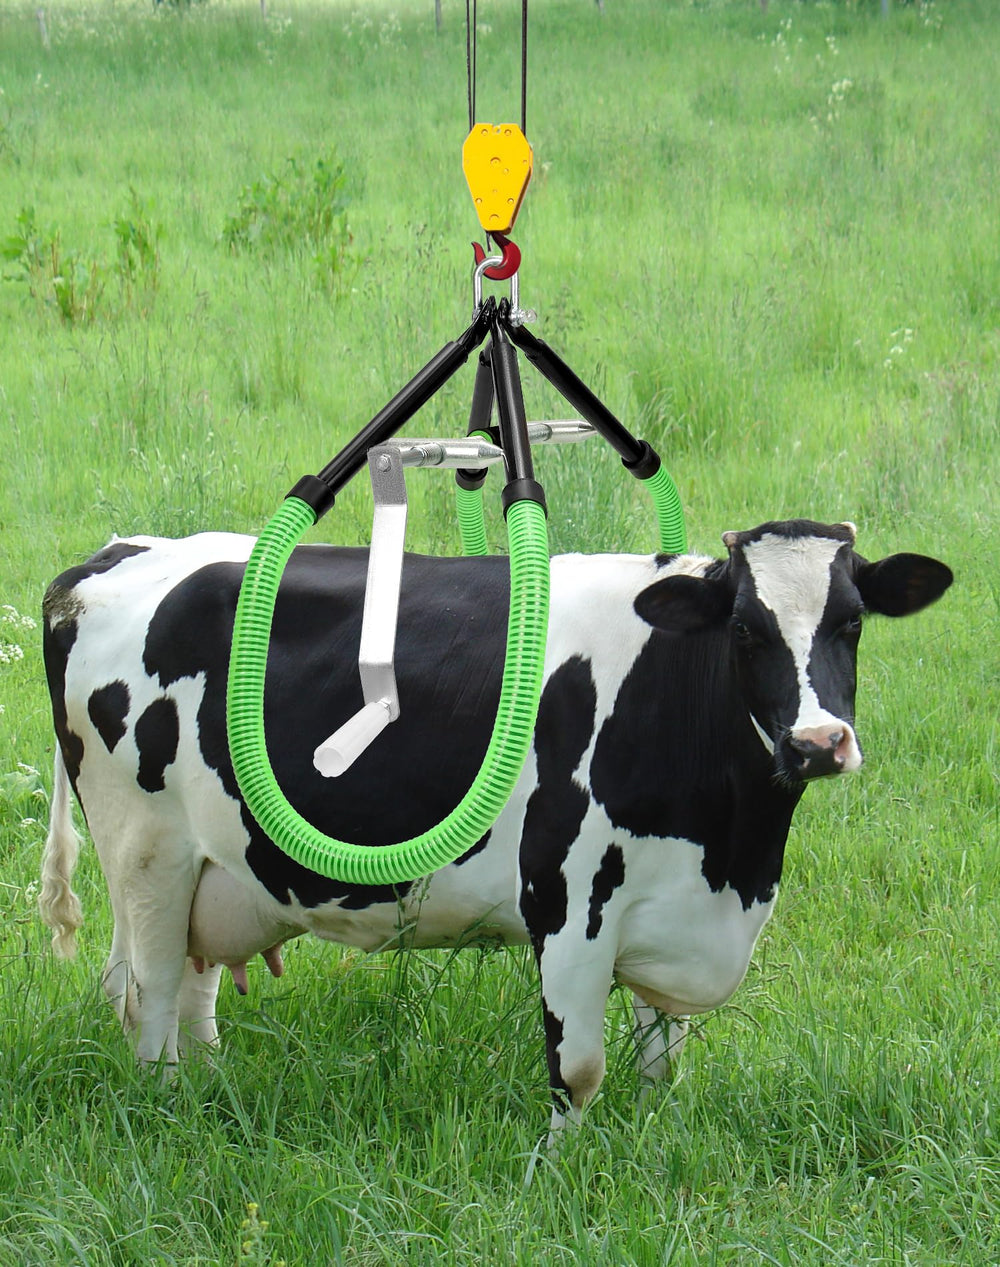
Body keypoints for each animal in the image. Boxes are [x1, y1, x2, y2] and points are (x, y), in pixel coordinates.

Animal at [39, 519, 951, 1135]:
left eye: (853, 621)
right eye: (745, 628)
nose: (819, 742)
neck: (733, 856)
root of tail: (108, 559)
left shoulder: (674, 904)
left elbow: (663, 1059)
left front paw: (654, 1147)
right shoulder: (570, 898)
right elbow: (578, 1068)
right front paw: (561, 1174)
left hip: (215, 865)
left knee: (192, 990)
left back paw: (212, 1093)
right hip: (146, 852)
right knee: (148, 996)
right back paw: (170, 1113)